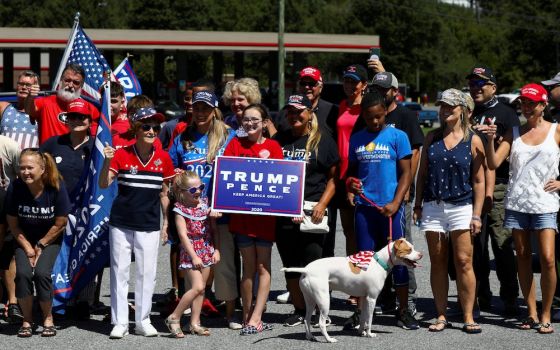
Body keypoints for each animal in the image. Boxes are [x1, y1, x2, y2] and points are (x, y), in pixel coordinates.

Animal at [282, 238, 422, 342]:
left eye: (413, 248)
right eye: (409, 250)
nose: (421, 254)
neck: (379, 262)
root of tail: (306, 269)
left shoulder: (365, 298)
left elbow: (364, 317)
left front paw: (361, 332)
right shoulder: (372, 299)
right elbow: (370, 319)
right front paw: (369, 333)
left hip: (310, 300)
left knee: (306, 319)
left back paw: (310, 337)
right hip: (324, 301)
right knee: (321, 323)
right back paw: (329, 339)